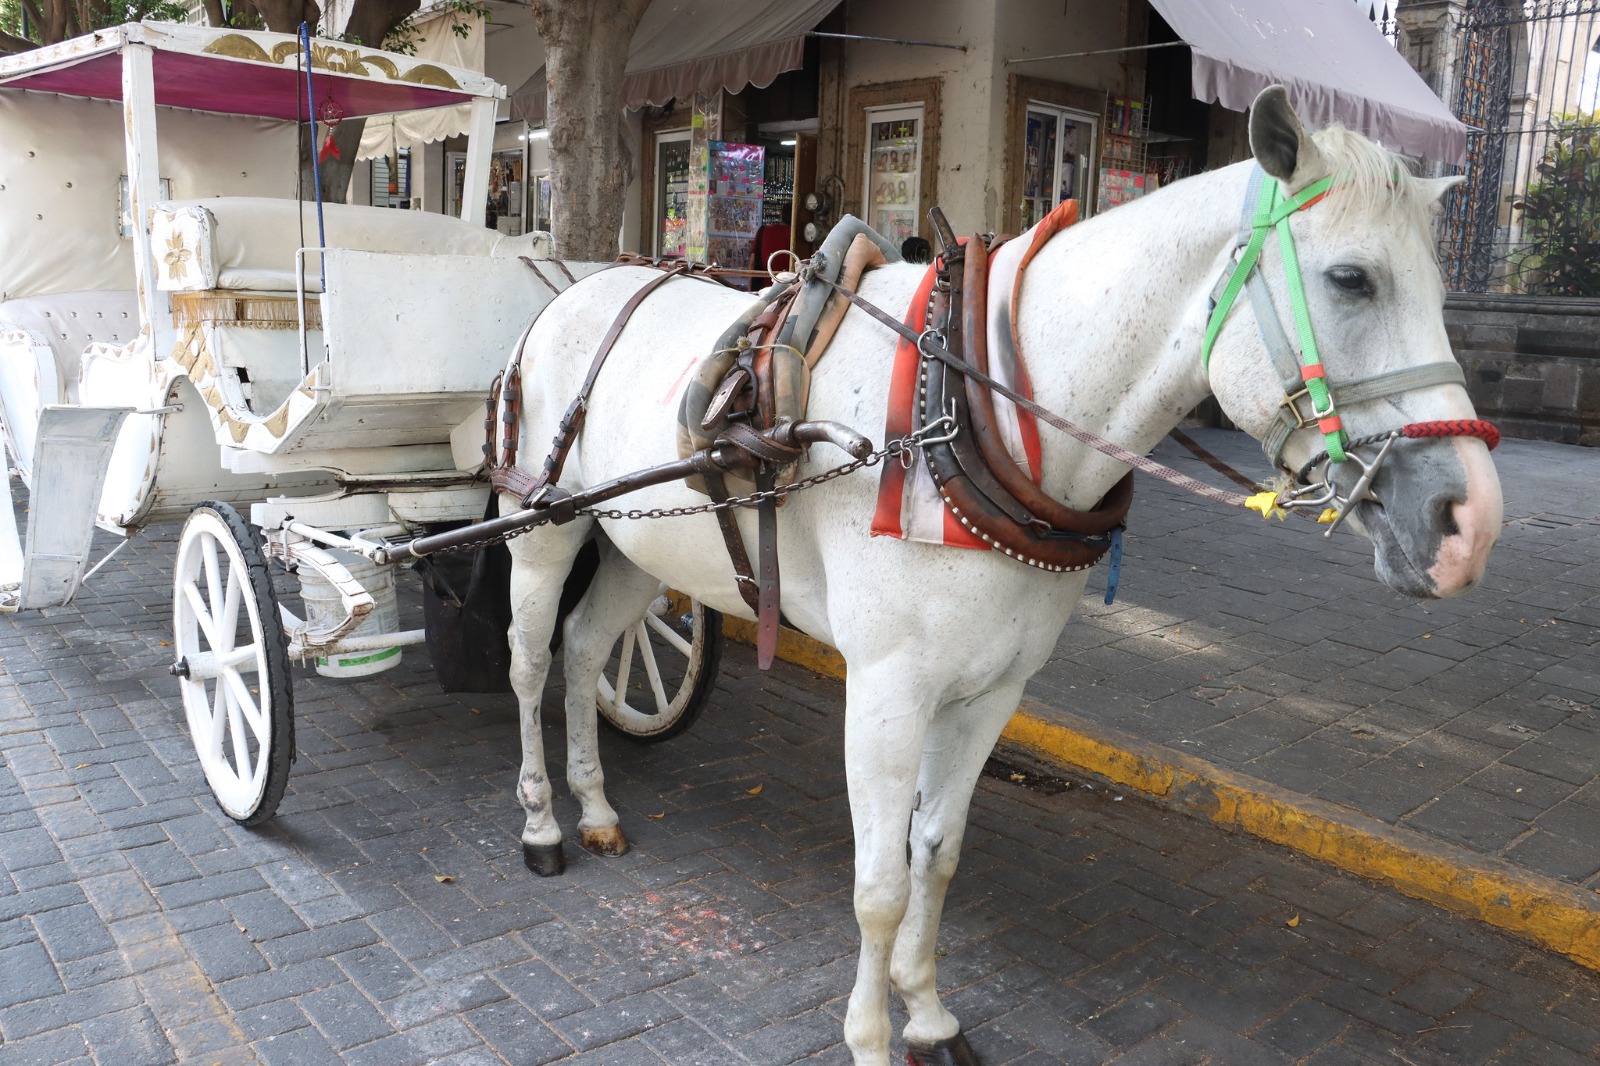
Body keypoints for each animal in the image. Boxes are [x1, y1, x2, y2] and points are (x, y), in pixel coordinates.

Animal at [496, 87, 1497, 1056]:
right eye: (1351, 278)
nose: (1472, 524)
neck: (964, 413)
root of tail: (576, 290)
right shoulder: (887, 690)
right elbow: (878, 886)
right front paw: (870, 1038)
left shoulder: (992, 688)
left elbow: (935, 853)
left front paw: (929, 1016)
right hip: (544, 527)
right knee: (533, 663)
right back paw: (542, 824)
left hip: (638, 543)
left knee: (588, 650)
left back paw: (595, 808)